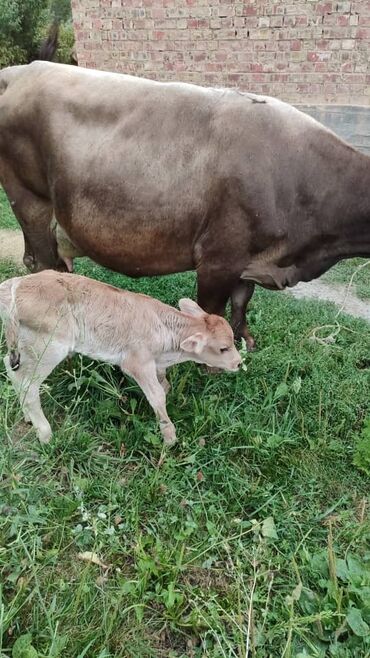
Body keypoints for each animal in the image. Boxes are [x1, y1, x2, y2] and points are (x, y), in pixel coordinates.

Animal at [0, 62, 370, 348]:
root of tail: (23, 70)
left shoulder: (248, 259)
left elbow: (242, 303)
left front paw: (246, 342)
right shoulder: (218, 259)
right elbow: (213, 313)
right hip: (29, 200)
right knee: (39, 262)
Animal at [0, 270, 241, 444]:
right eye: (223, 348)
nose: (239, 363)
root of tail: (14, 285)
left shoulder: (155, 363)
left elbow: (164, 386)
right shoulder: (137, 363)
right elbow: (157, 396)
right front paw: (169, 437)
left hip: (25, 345)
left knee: (10, 368)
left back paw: (28, 417)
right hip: (48, 347)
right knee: (28, 386)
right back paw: (45, 433)